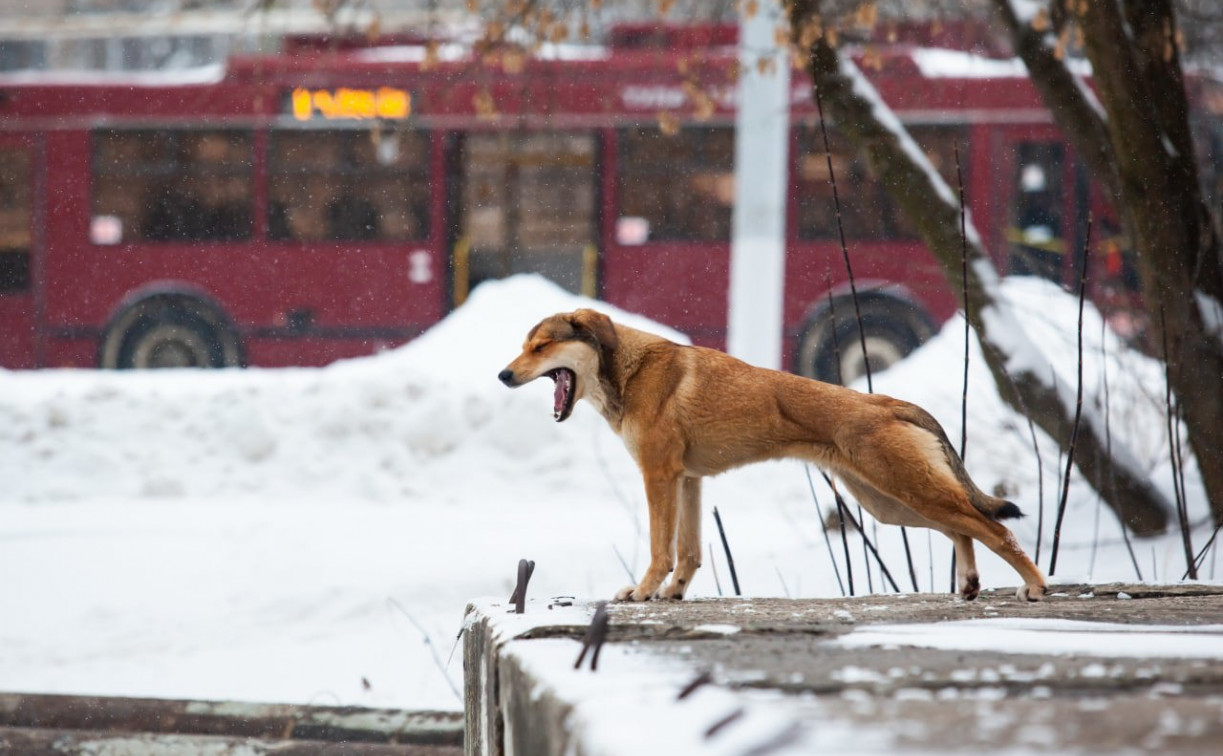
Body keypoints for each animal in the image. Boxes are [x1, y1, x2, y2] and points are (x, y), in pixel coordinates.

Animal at [501, 305, 1046, 599]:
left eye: (542, 347)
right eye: (525, 345)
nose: (504, 375)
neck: (627, 369)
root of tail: (893, 404)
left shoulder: (659, 477)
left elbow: (661, 549)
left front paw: (642, 591)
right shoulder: (688, 481)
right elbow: (690, 552)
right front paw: (672, 594)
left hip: (904, 490)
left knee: (993, 529)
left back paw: (1036, 585)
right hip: (889, 503)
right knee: (963, 527)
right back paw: (970, 584)